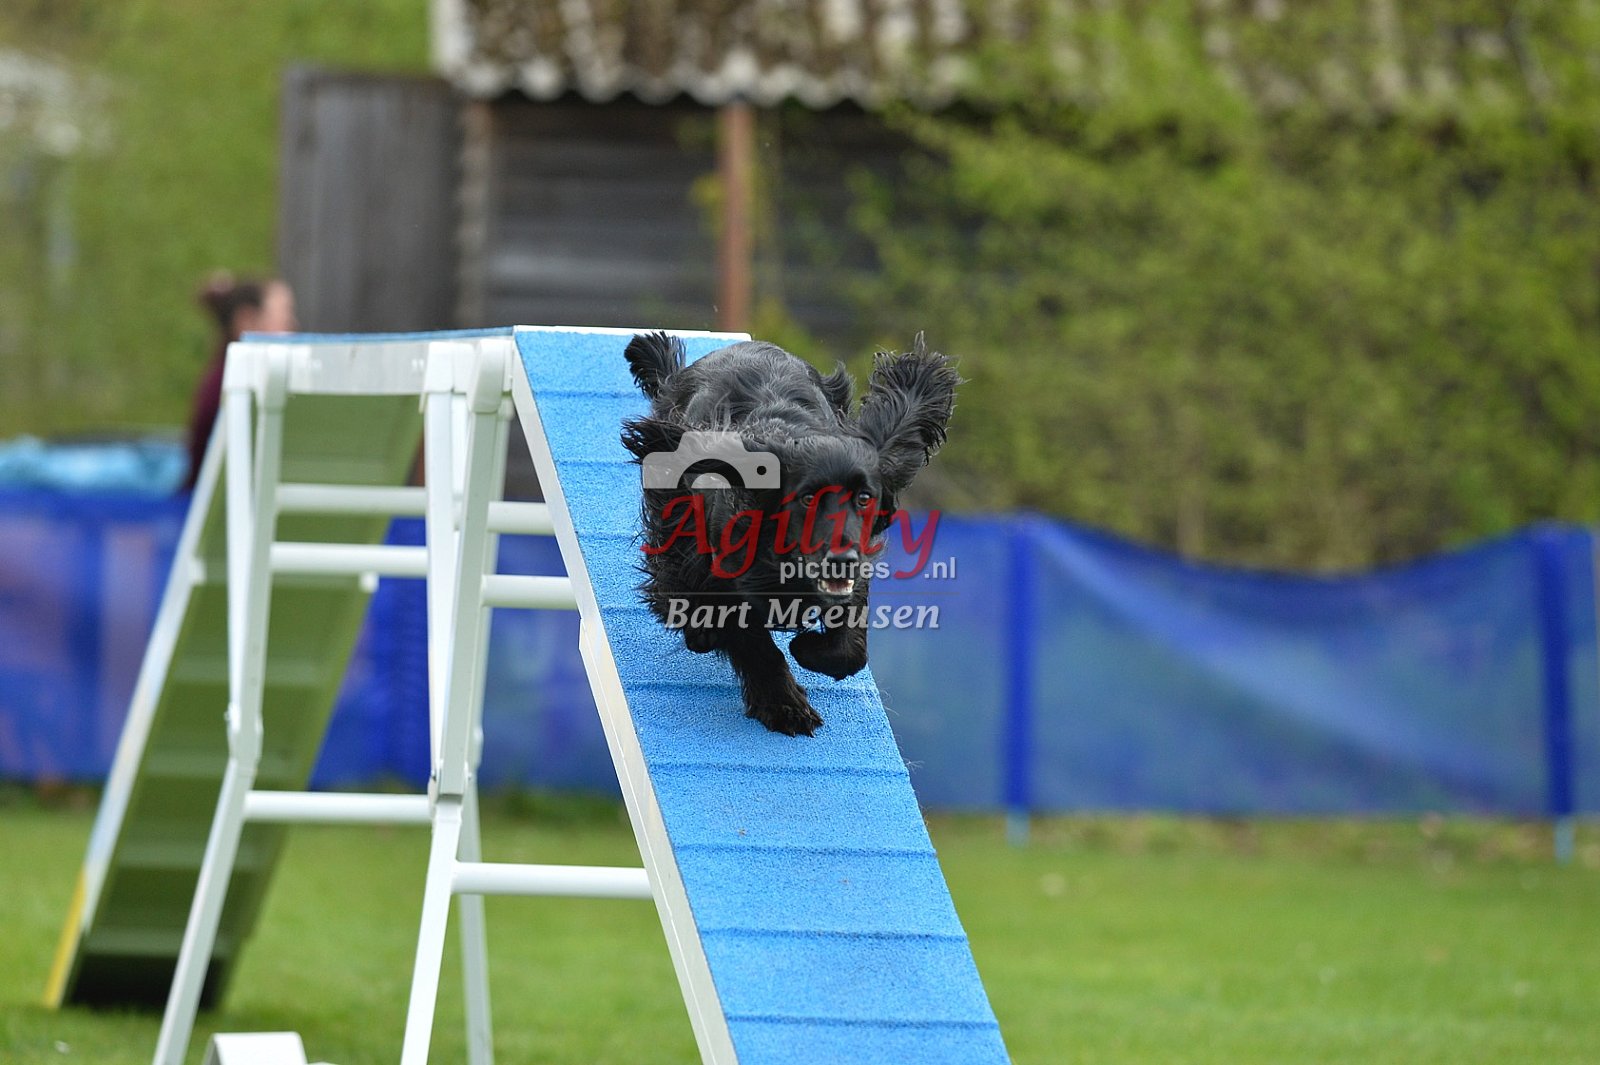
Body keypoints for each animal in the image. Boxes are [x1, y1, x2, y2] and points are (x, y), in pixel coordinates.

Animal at [620, 331, 959, 736]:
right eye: (808, 497)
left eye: (864, 497)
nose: (841, 561)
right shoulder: (721, 573)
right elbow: (754, 643)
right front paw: (784, 704)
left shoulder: (856, 573)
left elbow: (850, 647)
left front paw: (809, 650)